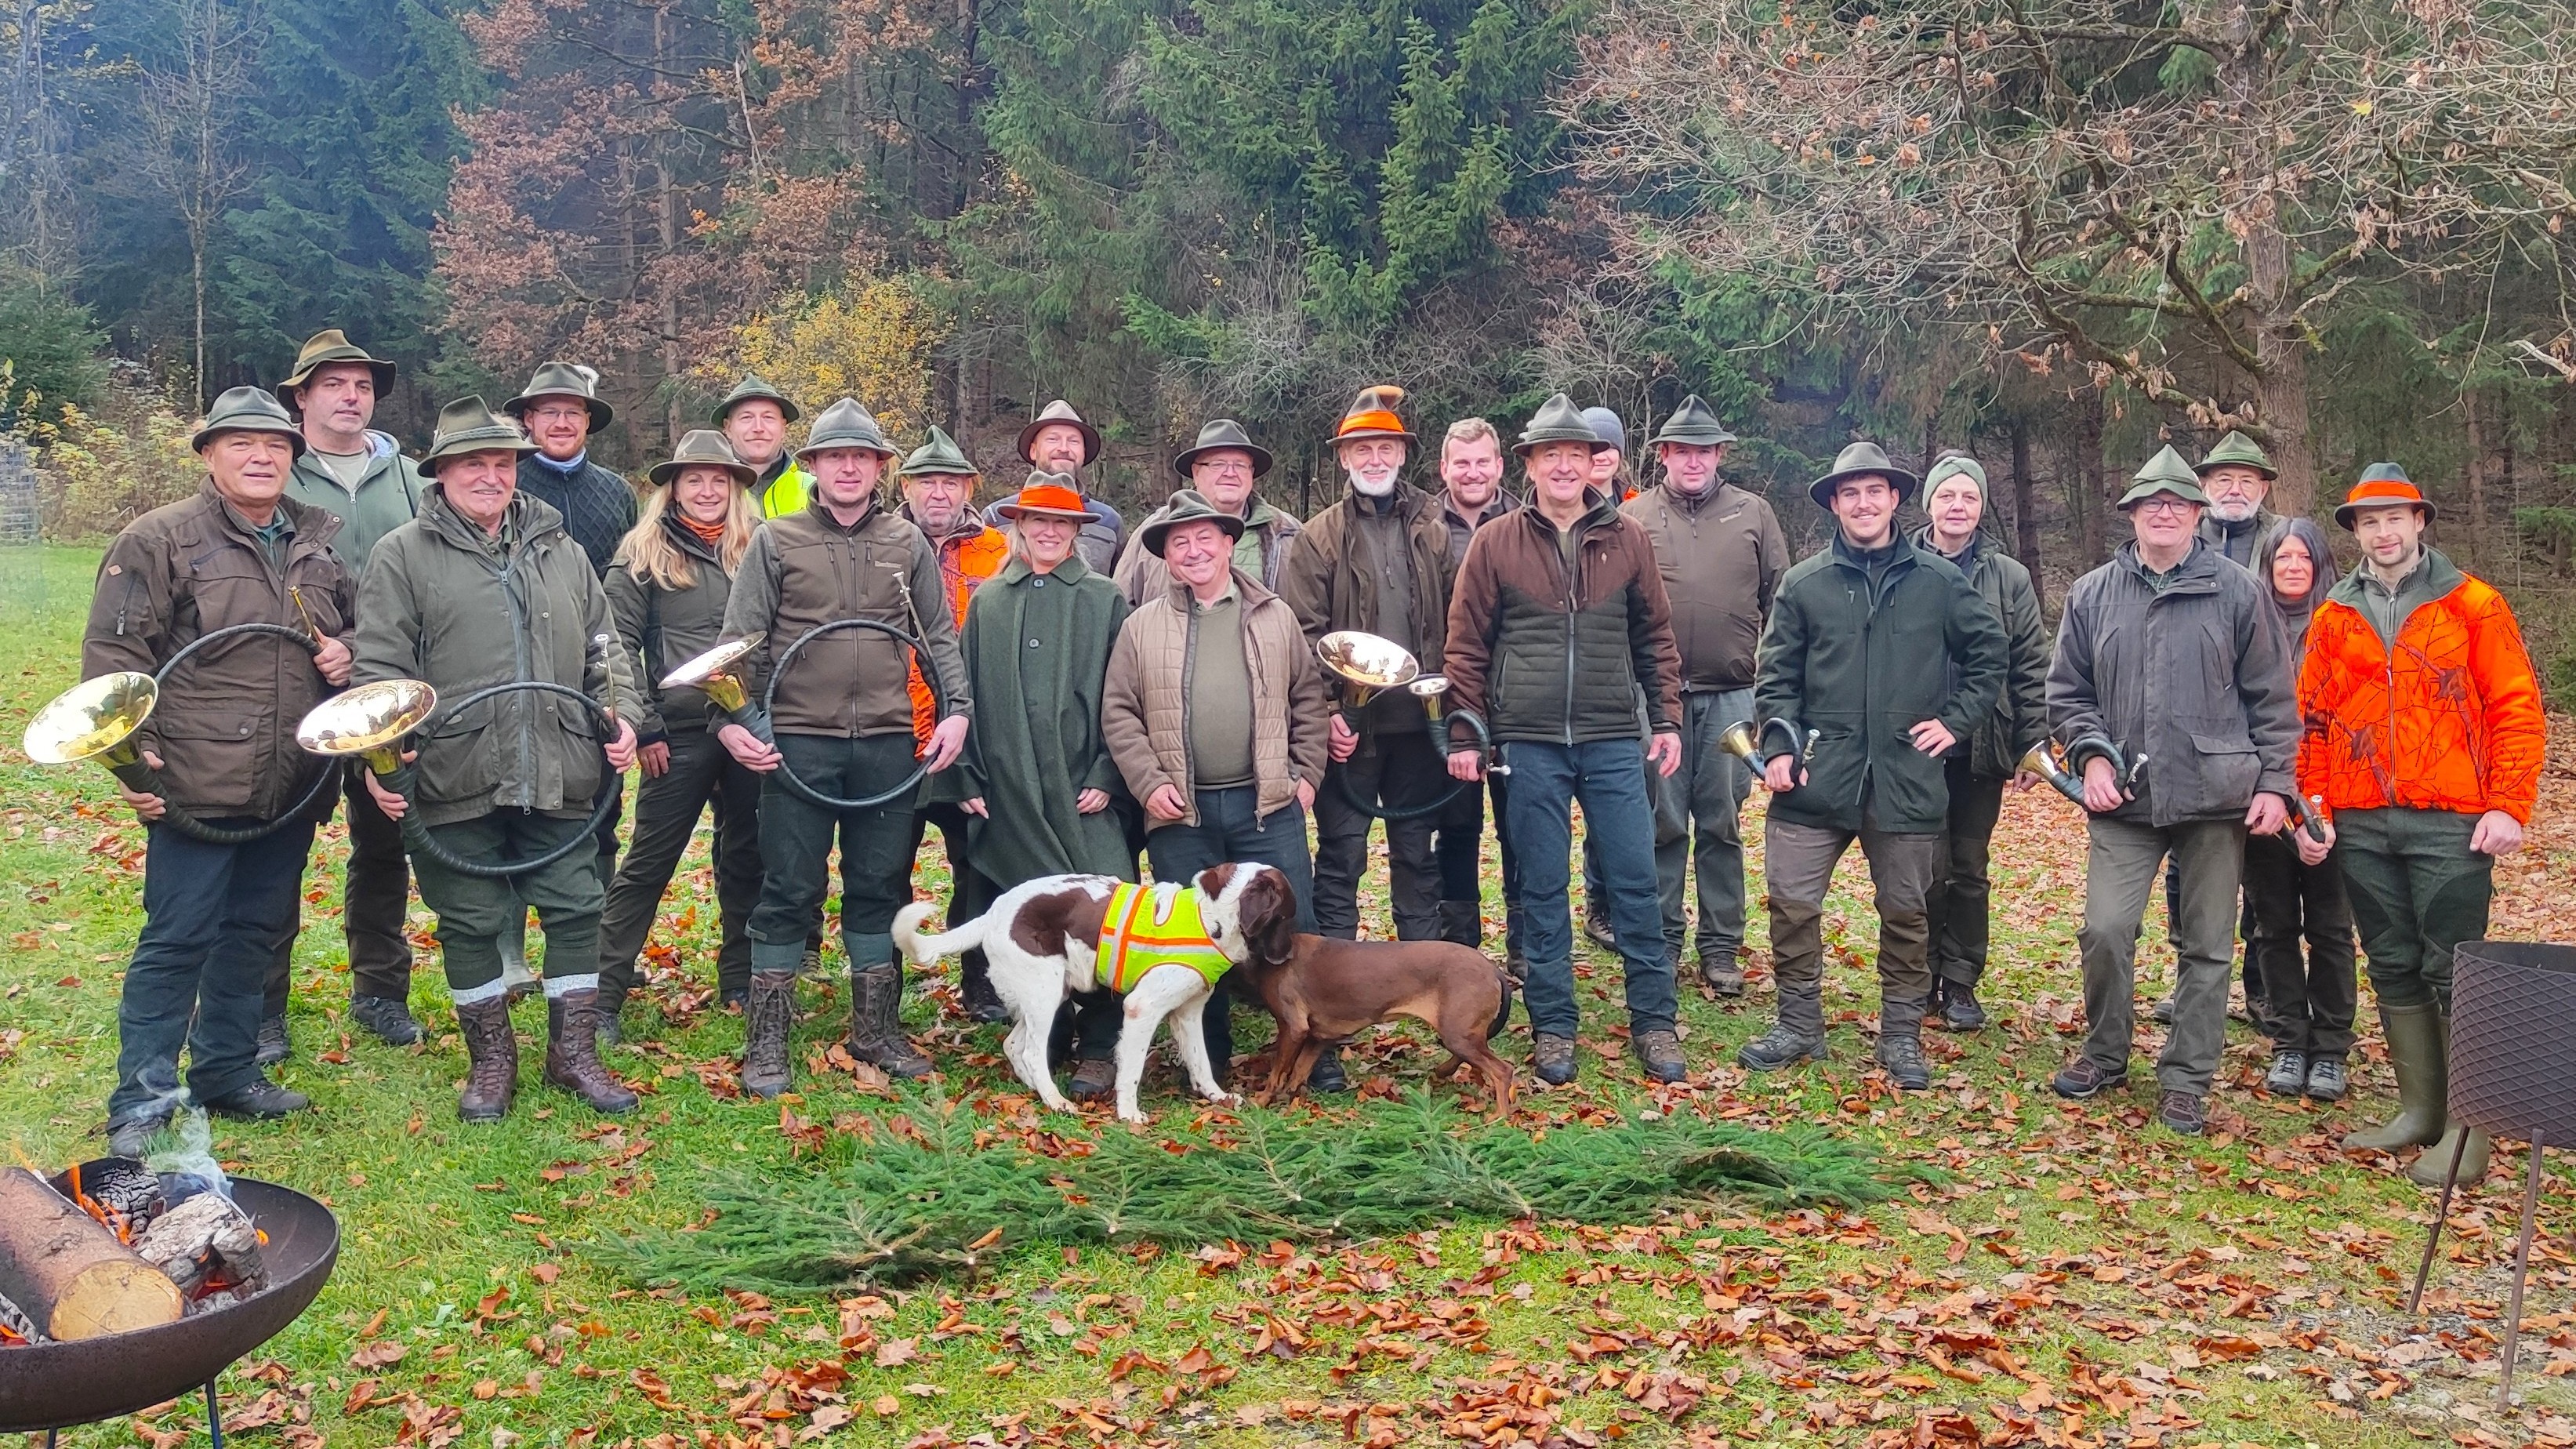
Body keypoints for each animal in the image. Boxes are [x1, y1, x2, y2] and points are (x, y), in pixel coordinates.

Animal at [892, 863, 1294, 1123]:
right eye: (1285, 916)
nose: (1289, 955)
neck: (1211, 918)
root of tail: (991, 914)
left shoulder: (1188, 1012)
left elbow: (1201, 1061)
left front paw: (1216, 1097)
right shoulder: (1141, 1009)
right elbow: (1131, 1070)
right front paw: (1129, 1114)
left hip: (1047, 992)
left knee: (1014, 1046)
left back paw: (1039, 1091)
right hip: (1046, 990)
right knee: (1032, 1052)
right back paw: (1055, 1101)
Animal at [1228, 886, 1517, 1117]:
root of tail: (1493, 971)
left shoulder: (1293, 1028)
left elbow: (1277, 1073)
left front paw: (1261, 1100)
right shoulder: (1318, 1036)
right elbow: (1298, 1071)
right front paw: (1292, 1099)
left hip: (1458, 1032)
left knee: (1502, 1071)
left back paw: (1499, 1116)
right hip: (1459, 1032)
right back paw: (1445, 1070)